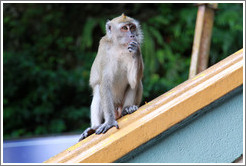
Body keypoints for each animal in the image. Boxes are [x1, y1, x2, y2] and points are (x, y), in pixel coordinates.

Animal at [78, 13, 144, 141]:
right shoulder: (104, 49)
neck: (119, 46)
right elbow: (105, 83)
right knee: (98, 89)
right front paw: (109, 122)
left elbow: (133, 81)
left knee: (136, 83)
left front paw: (135, 50)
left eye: (132, 27)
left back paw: (128, 109)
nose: (132, 35)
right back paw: (94, 127)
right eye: (125, 28)